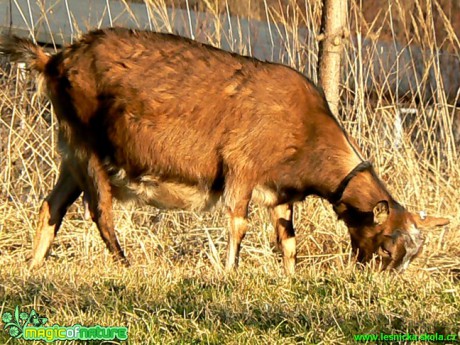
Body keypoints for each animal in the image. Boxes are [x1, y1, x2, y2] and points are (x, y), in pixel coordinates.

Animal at [0, 27, 448, 274]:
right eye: (387, 246)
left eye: (413, 254)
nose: (380, 280)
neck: (306, 129)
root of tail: (54, 58)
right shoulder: (241, 167)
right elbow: (238, 224)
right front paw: (230, 272)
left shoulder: (280, 193)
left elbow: (288, 239)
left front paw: (290, 277)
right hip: (86, 142)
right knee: (100, 211)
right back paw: (125, 264)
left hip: (70, 153)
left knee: (52, 205)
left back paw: (35, 264)